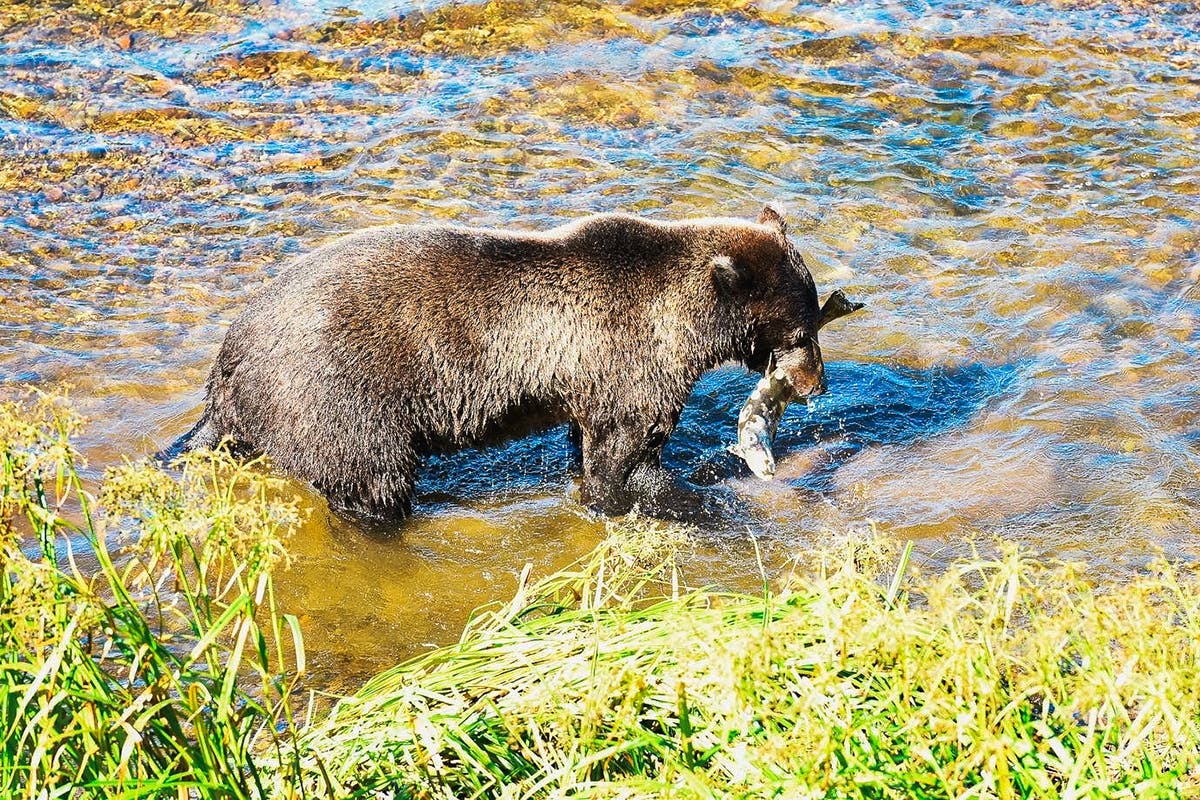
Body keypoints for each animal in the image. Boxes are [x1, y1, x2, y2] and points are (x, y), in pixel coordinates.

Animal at [169, 205, 858, 520]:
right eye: (801, 330)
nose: (815, 383)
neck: (685, 324)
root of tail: (227, 363)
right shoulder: (630, 362)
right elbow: (625, 449)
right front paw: (645, 496)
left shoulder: (592, 379)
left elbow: (595, 441)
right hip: (338, 393)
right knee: (371, 475)